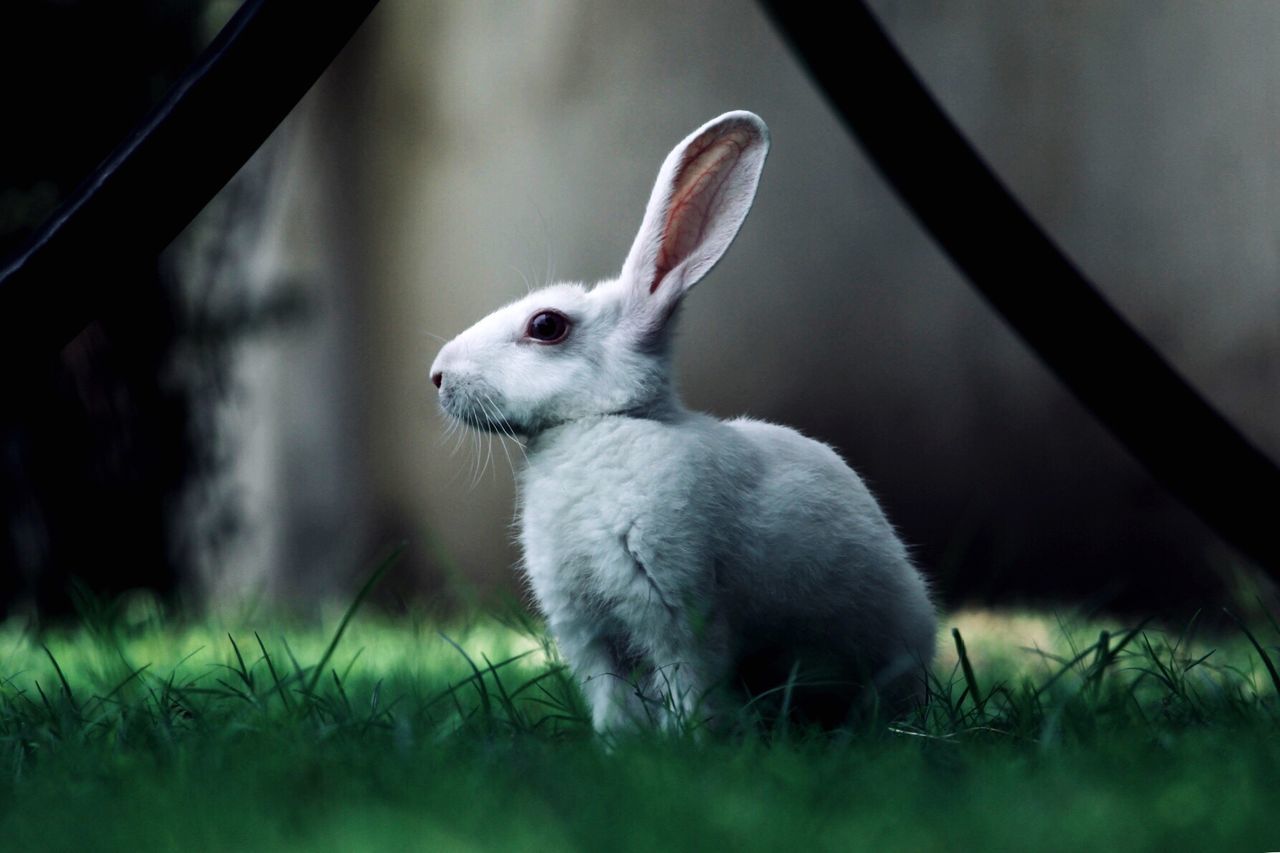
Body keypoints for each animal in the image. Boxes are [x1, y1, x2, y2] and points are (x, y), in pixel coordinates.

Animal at [432, 109, 942, 727]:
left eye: (547, 325)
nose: (437, 375)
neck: (602, 424)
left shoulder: (677, 609)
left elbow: (689, 687)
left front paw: (685, 741)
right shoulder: (589, 632)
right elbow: (610, 699)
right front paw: (617, 743)